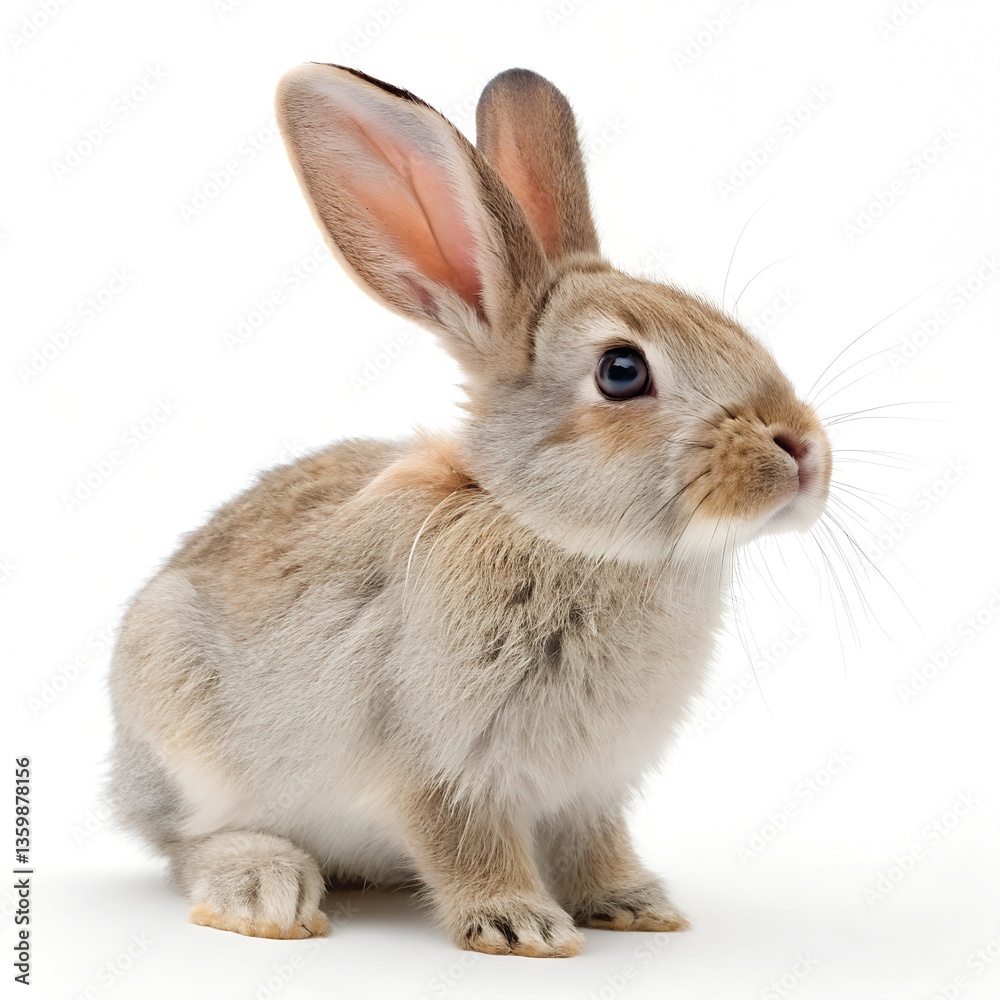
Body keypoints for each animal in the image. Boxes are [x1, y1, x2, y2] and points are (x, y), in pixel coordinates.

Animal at [107, 63, 832, 958]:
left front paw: (633, 905)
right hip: (180, 723)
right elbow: (464, 843)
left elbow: (596, 845)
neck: (553, 532)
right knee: (186, 840)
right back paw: (263, 891)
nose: (804, 451)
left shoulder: (591, 789)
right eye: (622, 371)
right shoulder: (437, 765)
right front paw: (523, 925)